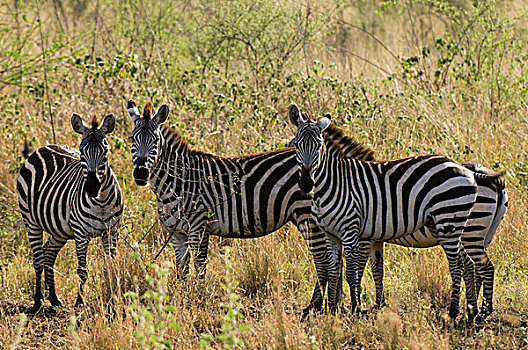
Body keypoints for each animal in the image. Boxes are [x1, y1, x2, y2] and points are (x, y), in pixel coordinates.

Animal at [16, 113, 124, 310]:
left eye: (105, 152)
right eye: (81, 151)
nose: (92, 187)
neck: (102, 201)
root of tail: (43, 147)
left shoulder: (111, 231)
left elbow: (111, 267)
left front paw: (113, 300)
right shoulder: (81, 233)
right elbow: (83, 271)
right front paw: (79, 302)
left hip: (61, 230)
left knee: (48, 253)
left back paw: (54, 298)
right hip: (31, 221)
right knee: (38, 259)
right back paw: (38, 300)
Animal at [286, 104, 506, 322]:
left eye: (319, 147)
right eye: (296, 145)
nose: (306, 184)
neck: (336, 181)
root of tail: (469, 170)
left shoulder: (354, 233)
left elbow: (353, 272)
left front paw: (355, 308)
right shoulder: (338, 234)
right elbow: (352, 270)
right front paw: (337, 309)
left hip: (457, 226)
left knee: (466, 265)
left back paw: (466, 312)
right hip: (468, 231)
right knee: (472, 265)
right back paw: (473, 311)